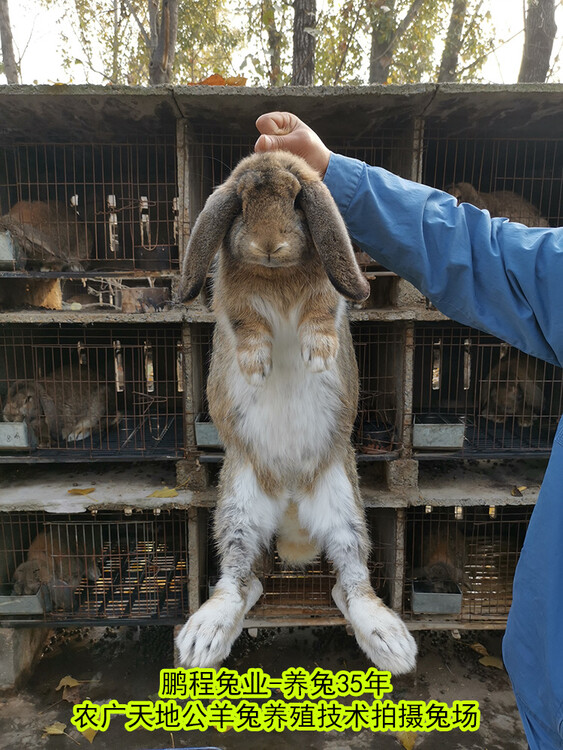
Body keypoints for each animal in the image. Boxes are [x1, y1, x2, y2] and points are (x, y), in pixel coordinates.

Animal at [176, 151, 418, 676]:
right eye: (242, 203)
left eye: (295, 200)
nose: (270, 244)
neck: (276, 276)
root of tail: (289, 497)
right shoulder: (234, 302)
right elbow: (247, 324)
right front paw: (256, 367)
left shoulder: (326, 297)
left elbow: (320, 315)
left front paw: (319, 357)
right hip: (239, 505)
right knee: (241, 581)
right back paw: (202, 640)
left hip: (343, 503)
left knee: (350, 582)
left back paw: (391, 644)